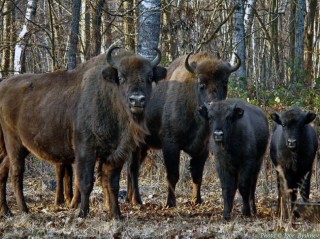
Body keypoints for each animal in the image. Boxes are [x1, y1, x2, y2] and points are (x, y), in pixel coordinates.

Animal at [0, 44, 166, 218]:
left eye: (149, 77)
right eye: (121, 77)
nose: (137, 100)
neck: (109, 97)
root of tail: (3, 86)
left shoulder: (115, 154)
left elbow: (112, 183)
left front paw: (117, 215)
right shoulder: (86, 150)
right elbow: (85, 182)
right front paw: (83, 213)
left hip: (13, 148)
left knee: (3, 170)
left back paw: (6, 211)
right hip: (15, 145)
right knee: (16, 174)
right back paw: (24, 209)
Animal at [126, 51, 241, 207]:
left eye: (225, 82)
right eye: (201, 84)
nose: (213, 105)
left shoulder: (202, 148)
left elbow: (197, 175)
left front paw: (197, 200)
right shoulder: (171, 145)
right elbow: (173, 175)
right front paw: (170, 203)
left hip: (144, 147)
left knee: (132, 168)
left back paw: (129, 198)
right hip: (136, 145)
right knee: (133, 168)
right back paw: (137, 200)